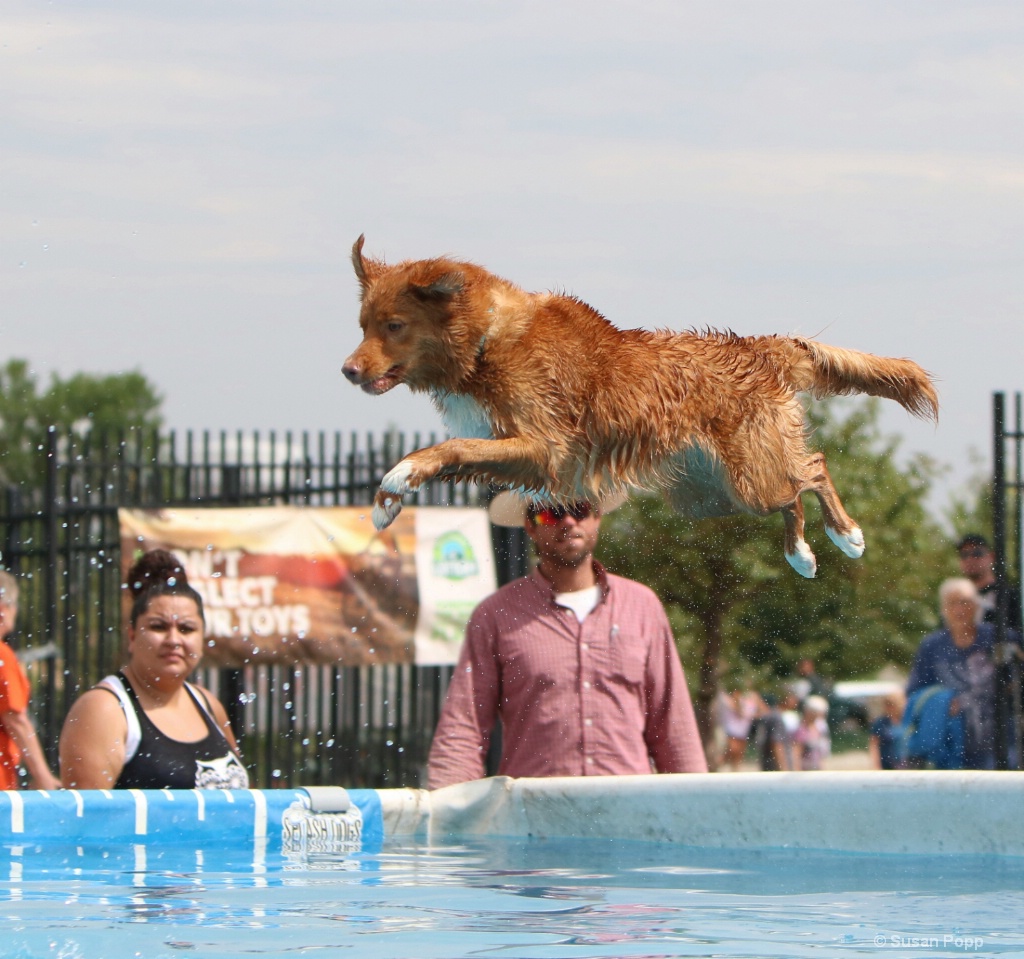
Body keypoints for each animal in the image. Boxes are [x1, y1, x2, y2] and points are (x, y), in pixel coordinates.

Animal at [344, 234, 937, 577]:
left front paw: (395, 481)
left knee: (811, 468)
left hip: (749, 477)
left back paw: (845, 535)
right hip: (709, 495)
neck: (488, 341)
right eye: (363, 325)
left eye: (394, 326)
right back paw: (801, 552)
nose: (348, 370)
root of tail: (756, 348)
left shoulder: (544, 447)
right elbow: (457, 453)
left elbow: (447, 449)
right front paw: (387, 500)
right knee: (791, 495)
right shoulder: (520, 453)